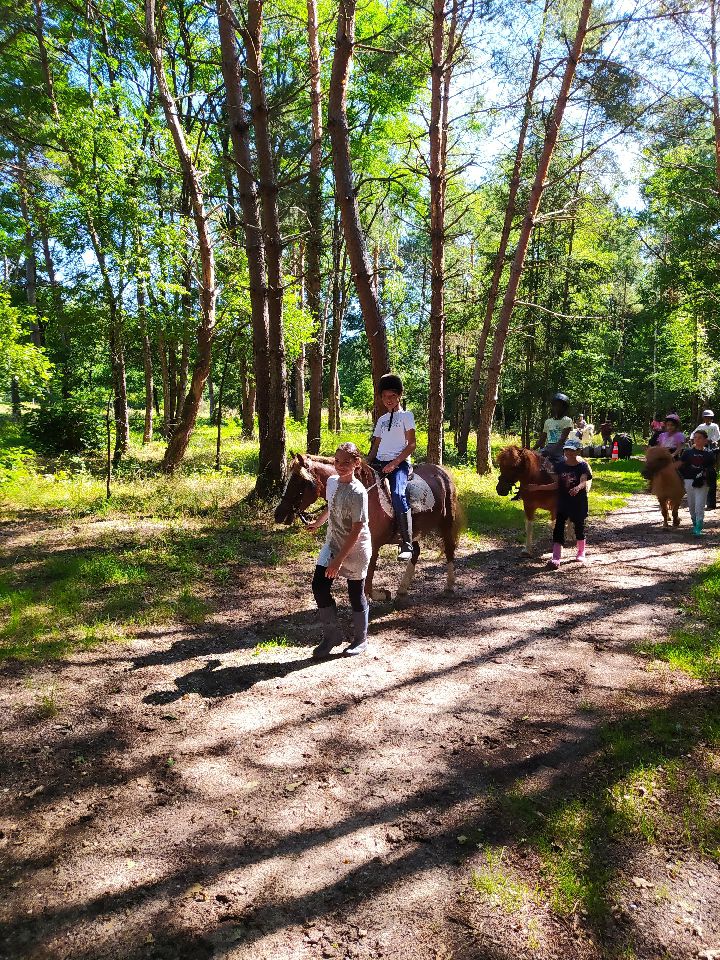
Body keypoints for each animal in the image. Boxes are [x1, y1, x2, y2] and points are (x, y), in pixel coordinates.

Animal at [272, 456, 458, 600]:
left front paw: (380, 594)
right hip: (414, 532)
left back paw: (449, 585)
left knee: (449, 549)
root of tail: (441, 471)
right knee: (415, 551)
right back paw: (402, 589)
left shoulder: (373, 545)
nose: (279, 514)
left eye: (300, 481)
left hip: (447, 522)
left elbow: (367, 579)